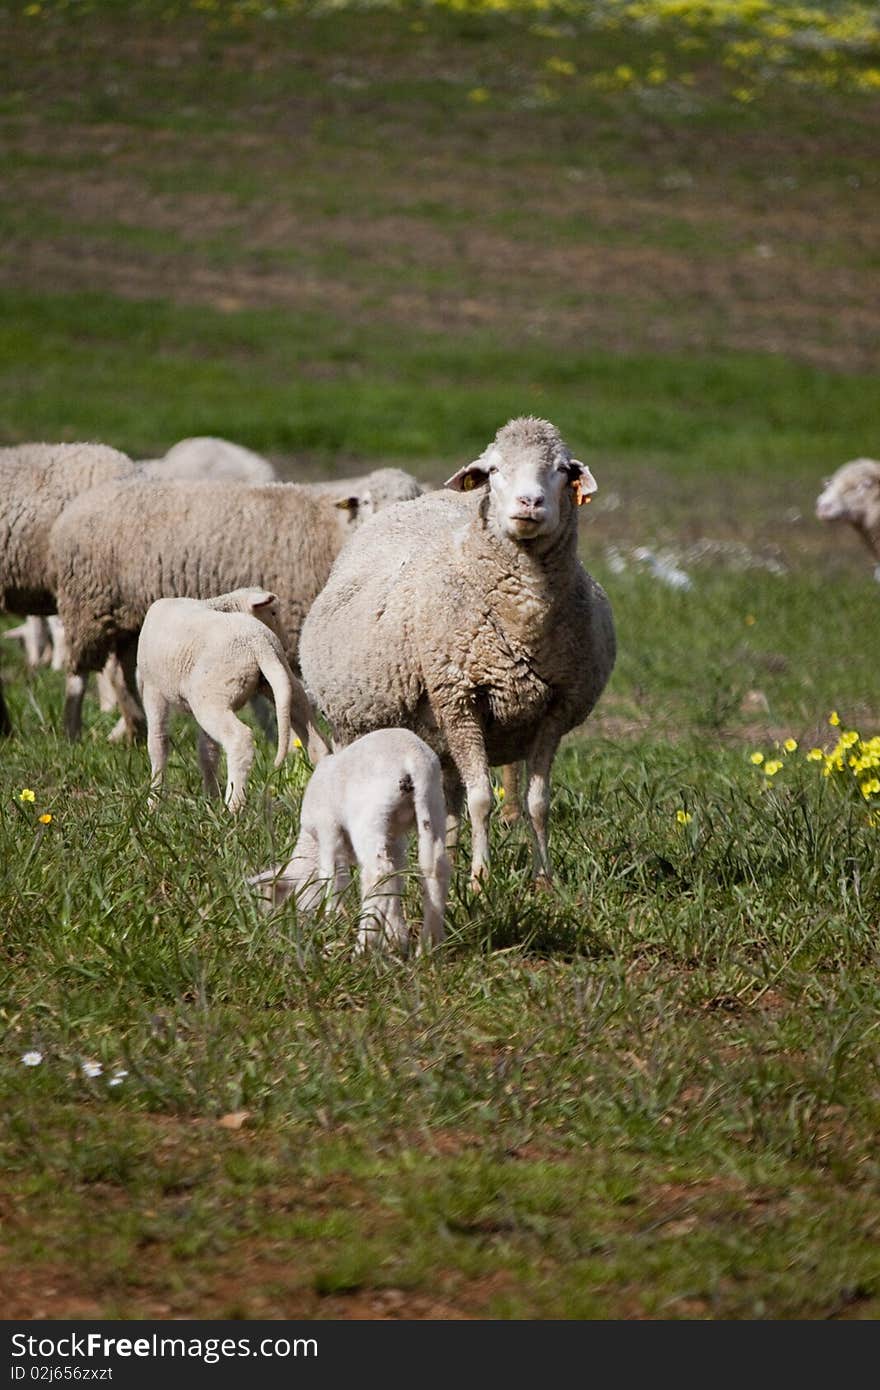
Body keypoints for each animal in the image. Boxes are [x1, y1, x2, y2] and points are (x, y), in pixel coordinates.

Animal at [47, 467, 425, 745]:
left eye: (414, 497)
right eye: (367, 501)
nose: (393, 518)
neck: (330, 528)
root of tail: (78, 505)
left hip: (123, 616)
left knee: (122, 672)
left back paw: (133, 728)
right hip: (88, 605)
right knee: (79, 673)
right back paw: (72, 733)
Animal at [135, 586, 328, 811]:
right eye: (273, 613)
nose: (288, 644)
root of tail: (258, 643)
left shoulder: (152, 689)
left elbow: (158, 743)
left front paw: (153, 802)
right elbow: (208, 752)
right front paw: (210, 799)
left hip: (210, 701)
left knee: (240, 738)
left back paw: (233, 805)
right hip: (275, 682)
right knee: (312, 733)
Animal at [248, 728, 450, 956]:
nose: (275, 935)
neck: (310, 842)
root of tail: (412, 758)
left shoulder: (327, 828)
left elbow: (333, 876)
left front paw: (331, 925)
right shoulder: (394, 838)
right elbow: (396, 880)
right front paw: (395, 938)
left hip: (368, 815)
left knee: (378, 873)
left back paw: (362, 947)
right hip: (432, 804)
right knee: (435, 867)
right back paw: (429, 947)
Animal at [298, 414, 614, 889]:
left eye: (562, 470)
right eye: (494, 469)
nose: (530, 502)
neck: (524, 620)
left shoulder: (555, 710)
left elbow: (538, 802)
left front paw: (544, 881)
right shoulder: (461, 700)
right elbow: (481, 798)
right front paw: (481, 880)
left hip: (438, 739)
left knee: (444, 798)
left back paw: (440, 860)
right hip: (355, 725)